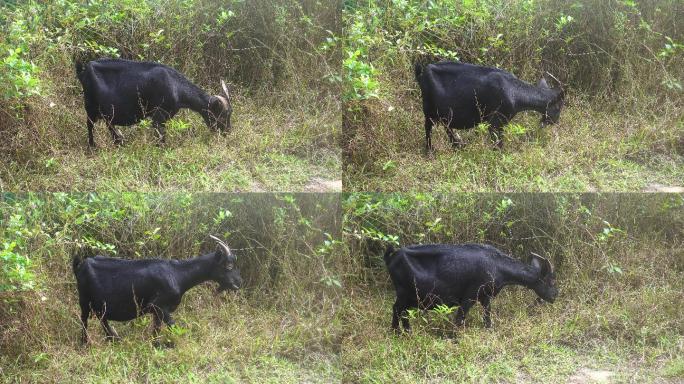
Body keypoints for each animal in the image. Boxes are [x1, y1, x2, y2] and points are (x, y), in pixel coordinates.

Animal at [71, 234, 240, 344]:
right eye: (228, 265)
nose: (239, 282)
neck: (177, 274)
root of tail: (80, 266)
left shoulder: (157, 312)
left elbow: (157, 329)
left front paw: (155, 344)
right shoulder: (159, 306)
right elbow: (172, 326)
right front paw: (168, 344)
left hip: (99, 304)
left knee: (102, 318)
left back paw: (113, 338)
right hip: (84, 300)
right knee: (85, 319)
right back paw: (86, 342)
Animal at [74, 58, 231, 147]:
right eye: (223, 115)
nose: (227, 133)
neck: (175, 86)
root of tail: (83, 71)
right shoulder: (158, 115)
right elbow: (161, 136)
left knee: (109, 124)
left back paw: (119, 141)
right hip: (90, 107)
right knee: (90, 125)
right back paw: (93, 146)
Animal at [382, 244, 560, 332]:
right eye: (551, 281)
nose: (555, 296)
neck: (497, 266)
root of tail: (392, 257)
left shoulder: (486, 296)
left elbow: (487, 315)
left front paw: (489, 330)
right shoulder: (469, 297)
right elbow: (459, 318)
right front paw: (453, 337)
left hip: (410, 297)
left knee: (403, 312)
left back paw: (406, 331)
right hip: (404, 293)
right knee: (397, 309)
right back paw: (396, 332)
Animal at [414, 61, 564, 150]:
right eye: (559, 106)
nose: (554, 122)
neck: (514, 91)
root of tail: (421, 73)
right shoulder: (496, 121)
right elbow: (498, 142)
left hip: (444, 112)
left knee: (447, 126)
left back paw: (457, 145)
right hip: (428, 109)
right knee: (428, 127)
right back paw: (430, 150)